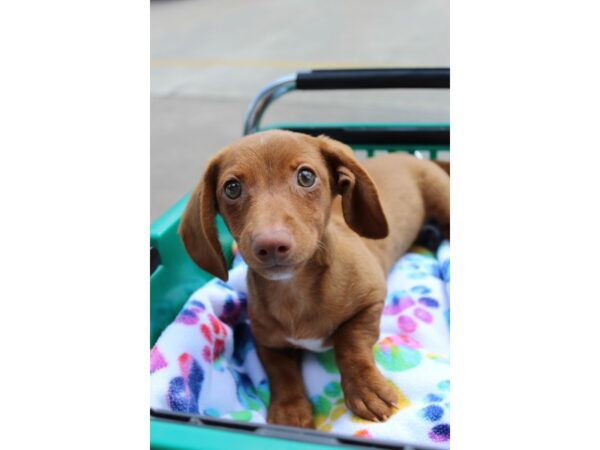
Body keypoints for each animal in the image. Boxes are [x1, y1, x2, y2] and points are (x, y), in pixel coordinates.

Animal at [179, 131, 450, 428]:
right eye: (231, 188)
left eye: (306, 176)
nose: (270, 244)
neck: (293, 289)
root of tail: (411, 155)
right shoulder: (264, 338)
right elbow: (280, 370)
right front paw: (289, 409)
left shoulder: (372, 299)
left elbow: (350, 343)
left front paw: (366, 388)